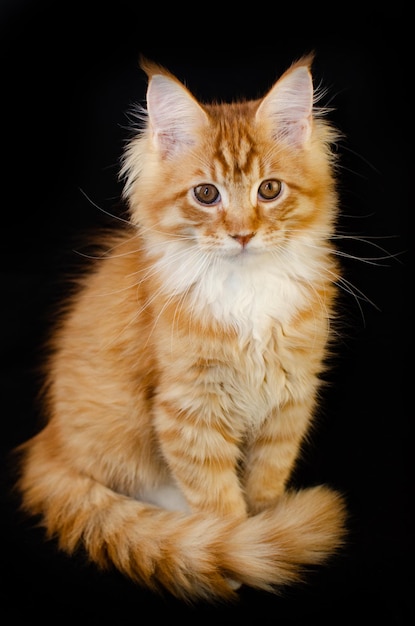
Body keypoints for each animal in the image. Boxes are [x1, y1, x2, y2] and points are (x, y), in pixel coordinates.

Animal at [14, 53, 348, 600]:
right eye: (206, 194)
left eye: (270, 190)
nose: (242, 234)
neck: (245, 290)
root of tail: (48, 441)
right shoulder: (188, 409)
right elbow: (219, 503)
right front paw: (237, 551)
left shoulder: (290, 397)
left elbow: (265, 480)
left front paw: (268, 522)